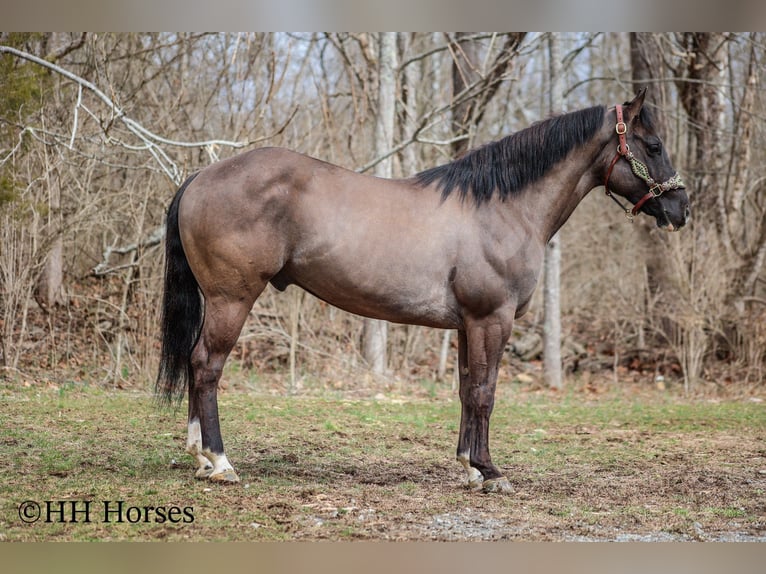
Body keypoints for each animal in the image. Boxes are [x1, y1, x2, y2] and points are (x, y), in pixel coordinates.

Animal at [156, 90, 688, 496]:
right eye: (654, 144)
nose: (681, 208)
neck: (501, 207)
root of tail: (201, 177)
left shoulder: (468, 325)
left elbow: (466, 390)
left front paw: (469, 466)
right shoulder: (492, 319)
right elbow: (486, 393)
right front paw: (491, 472)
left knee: (195, 363)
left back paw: (199, 457)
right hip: (232, 299)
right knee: (207, 365)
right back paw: (220, 462)